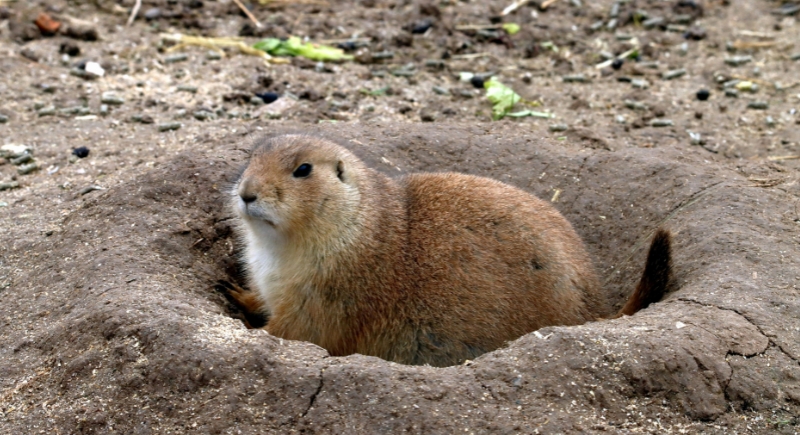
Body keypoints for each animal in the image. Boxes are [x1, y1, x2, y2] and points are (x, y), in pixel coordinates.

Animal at [221, 134, 673, 367]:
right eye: (252, 156)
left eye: (303, 170)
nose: (246, 193)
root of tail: (597, 310)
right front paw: (234, 290)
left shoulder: (333, 292)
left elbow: (300, 330)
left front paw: (255, 329)